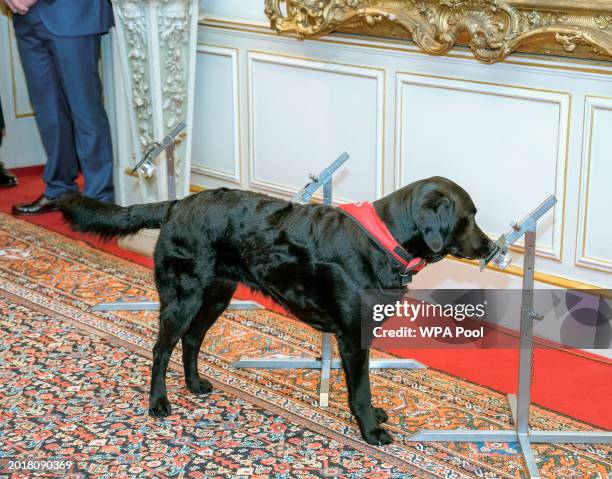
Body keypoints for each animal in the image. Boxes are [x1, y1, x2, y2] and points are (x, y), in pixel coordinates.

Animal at [58, 176, 492, 446]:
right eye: (469, 217)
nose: (490, 247)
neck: (385, 239)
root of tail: (180, 202)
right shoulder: (352, 337)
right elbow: (360, 390)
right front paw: (370, 430)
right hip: (183, 295)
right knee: (161, 348)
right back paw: (158, 403)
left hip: (216, 294)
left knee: (192, 341)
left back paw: (195, 385)